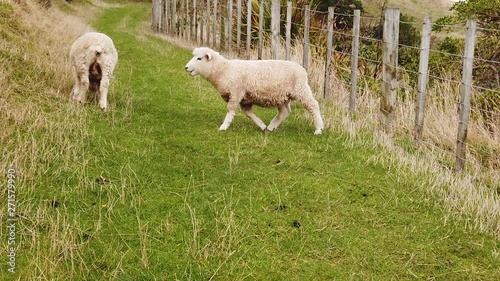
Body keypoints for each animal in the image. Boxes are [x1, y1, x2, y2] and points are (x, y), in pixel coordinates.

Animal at [184, 47, 324, 135]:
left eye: (199, 59)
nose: (186, 67)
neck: (224, 70)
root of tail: (302, 69)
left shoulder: (236, 93)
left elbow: (230, 110)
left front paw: (224, 126)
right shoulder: (245, 98)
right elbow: (248, 113)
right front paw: (262, 125)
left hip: (301, 89)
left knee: (313, 106)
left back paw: (319, 129)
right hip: (282, 95)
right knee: (284, 111)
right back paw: (271, 127)